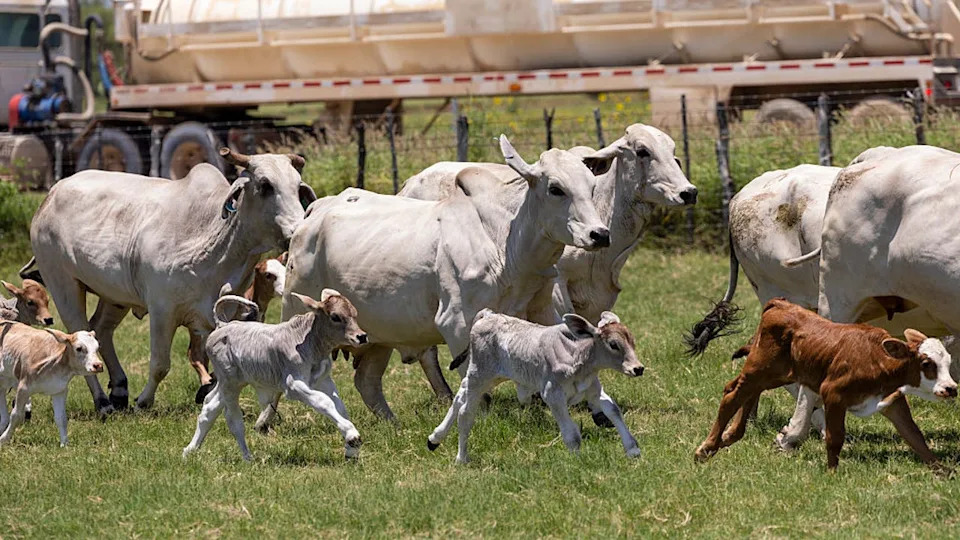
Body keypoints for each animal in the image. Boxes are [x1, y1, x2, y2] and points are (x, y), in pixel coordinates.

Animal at [28, 148, 317, 415]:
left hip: (114, 295)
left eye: (297, 186)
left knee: (101, 330)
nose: (297, 230)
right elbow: (160, 364)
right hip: (63, 284)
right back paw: (103, 403)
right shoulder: (161, 309)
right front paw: (143, 402)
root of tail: (51, 195)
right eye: (265, 185)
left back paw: (119, 390)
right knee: (78, 335)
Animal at [183, 290, 366, 461]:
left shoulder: (324, 381)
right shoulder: (293, 385)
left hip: (231, 382)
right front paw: (352, 435)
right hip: (230, 383)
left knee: (210, 407)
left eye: (355, 313)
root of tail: (222, 326)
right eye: (335, 316)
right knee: (233, 418)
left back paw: (190, 450)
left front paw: (351, 450)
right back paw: (247, 457)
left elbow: (339, 406)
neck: (309, 343)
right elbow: (324, 401)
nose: (362, 336)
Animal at [282, 135, 609, 420]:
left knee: (367, 382)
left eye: (592, 187)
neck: (505, 241)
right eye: (556, 188)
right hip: (296, 313)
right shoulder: (458, 322)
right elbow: (475, 388)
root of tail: (315, 212)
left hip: (377, 335)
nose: (600, 234)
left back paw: (393, 424)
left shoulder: (542, 310)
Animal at [427, 309, 644, 464]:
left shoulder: (593, 389)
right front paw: (578, 460)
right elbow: (572, 434)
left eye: (632, 342)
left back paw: (435, 438)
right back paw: (461, 458)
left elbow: (612, 409)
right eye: (613, 344)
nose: (638, 368)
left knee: (459, 396)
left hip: (488, 377)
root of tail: (488, 314)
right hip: (480, 375)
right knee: (466, 413)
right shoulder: (552, 395)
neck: (576, 354)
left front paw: (633, 449)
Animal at [695, 299, 956, 470]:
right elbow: (835, 437)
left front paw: (944, 471)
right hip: (760, 369)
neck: (878, 359)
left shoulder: (892, 403)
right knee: (732, 397)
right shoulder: (833, 394)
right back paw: (706, 448)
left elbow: (915, 436)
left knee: (739, 390)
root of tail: (780, 304)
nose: (951, 388)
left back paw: (728, 436)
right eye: (926, 362)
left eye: (948, 361)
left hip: (774, 375)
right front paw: (832, 472)